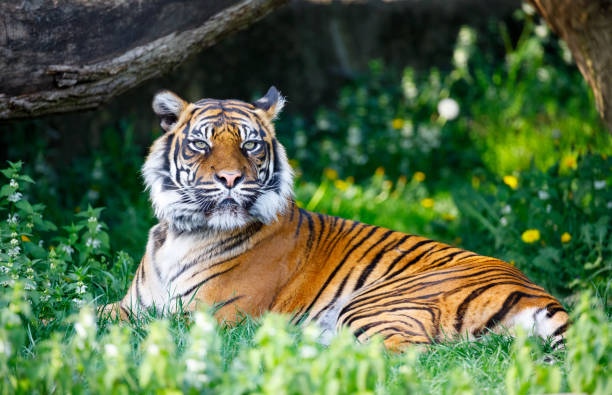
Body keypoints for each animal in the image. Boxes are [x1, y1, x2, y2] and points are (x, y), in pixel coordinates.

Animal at [100, 87, 568, 352]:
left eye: (251, 145)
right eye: (201, 144)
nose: (231, 178)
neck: (184, 230)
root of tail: (539, 294)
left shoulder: (212, 315)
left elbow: (148, 326)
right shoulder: (132, 304)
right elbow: (89, 309)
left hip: (373, 304)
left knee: (413, 355)